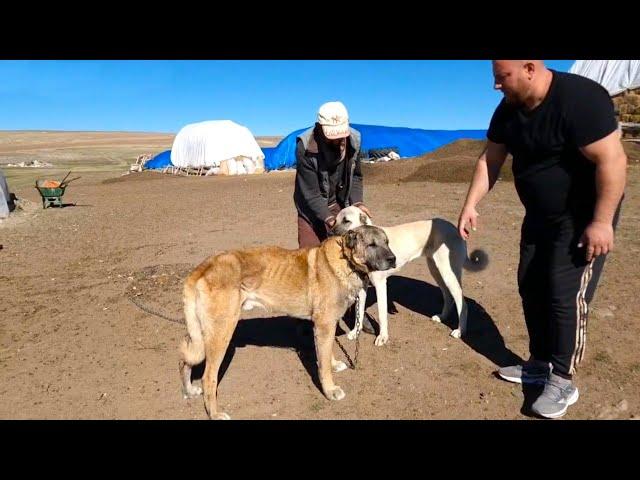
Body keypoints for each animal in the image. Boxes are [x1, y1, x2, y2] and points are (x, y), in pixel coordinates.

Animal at [179, 225, 396, 416]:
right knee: (208, 378)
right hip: (221, 334)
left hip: (201, 335)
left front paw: (334, 364)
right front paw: (330, 390)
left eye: (387, 242)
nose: (393, 259)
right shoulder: (324, 325)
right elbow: (323, 365)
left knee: (184, 360)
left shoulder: (327, 325)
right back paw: (214, 413)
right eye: (372, 244)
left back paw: (189, 391)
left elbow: (327, 354)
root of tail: (203, 266)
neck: (345, 262)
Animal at [332, 206, 488, 344]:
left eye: (346, 221)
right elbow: (359, 312)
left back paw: (460, 331)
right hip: (437, 271)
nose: (331, 231)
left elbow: (382, 315)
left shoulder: (381, 285)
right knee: (448, 297)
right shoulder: (362, 288)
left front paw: (383, 337)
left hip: (448, 274)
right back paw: (442, 317)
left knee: (462, 303)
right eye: (335, 220)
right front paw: (355, 332)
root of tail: (455, 228)